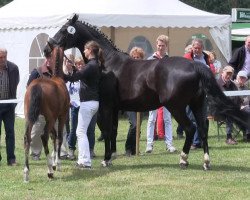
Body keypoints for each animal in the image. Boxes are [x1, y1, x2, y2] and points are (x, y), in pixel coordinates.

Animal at [45, 14, 250, 170]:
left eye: (64, 29)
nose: (47, 48)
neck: (106, 62)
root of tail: (195, 65)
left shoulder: (106, 106)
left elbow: (107, 130)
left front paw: (105, 159)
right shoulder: (115, 107)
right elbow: (113, 130)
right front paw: (111, 157)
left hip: (176, 107)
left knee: (190, 128)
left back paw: (183, 159)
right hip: (197, 105)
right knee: (202, 128)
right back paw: (206, 162)